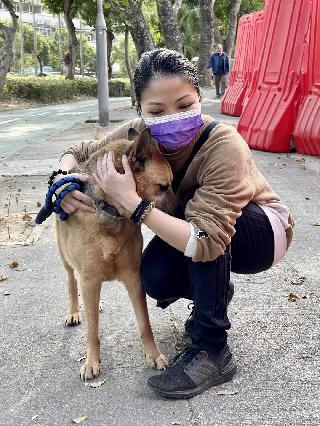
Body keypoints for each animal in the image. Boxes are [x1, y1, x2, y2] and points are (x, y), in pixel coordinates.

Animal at [55, 128, 175, 382]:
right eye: (163, 186)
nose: (184, 211)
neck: (110, 213)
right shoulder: (89, 278)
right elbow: (92, 331)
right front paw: (91, 362)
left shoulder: (133, 279)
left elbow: (145, 324)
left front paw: (153, 355)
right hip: (67, 260)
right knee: (72, 283)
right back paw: (74, 311)